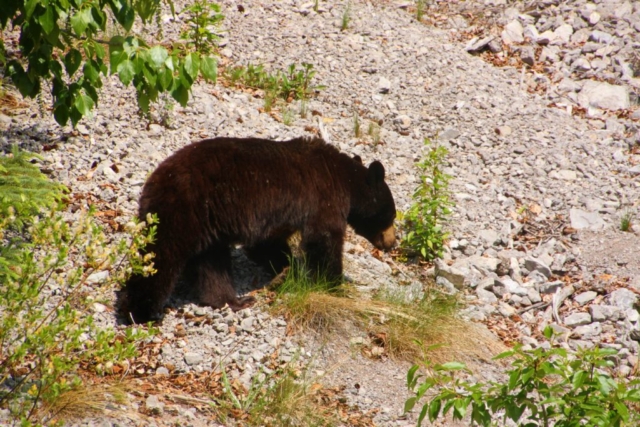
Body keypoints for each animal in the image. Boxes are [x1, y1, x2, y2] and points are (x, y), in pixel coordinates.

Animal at [119, 136, 396, 324]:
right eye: (392, 215)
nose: (391, 243)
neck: (345, 179)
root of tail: (154, 180)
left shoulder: (280, 217)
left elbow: (265, 244)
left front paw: (285, 270)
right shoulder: (323, 198)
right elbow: (324, 240)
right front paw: (333, 284)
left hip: (209, 226)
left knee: (211, 265)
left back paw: (234, 300)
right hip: (183, 209)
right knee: (160, 257)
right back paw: (140, 311)